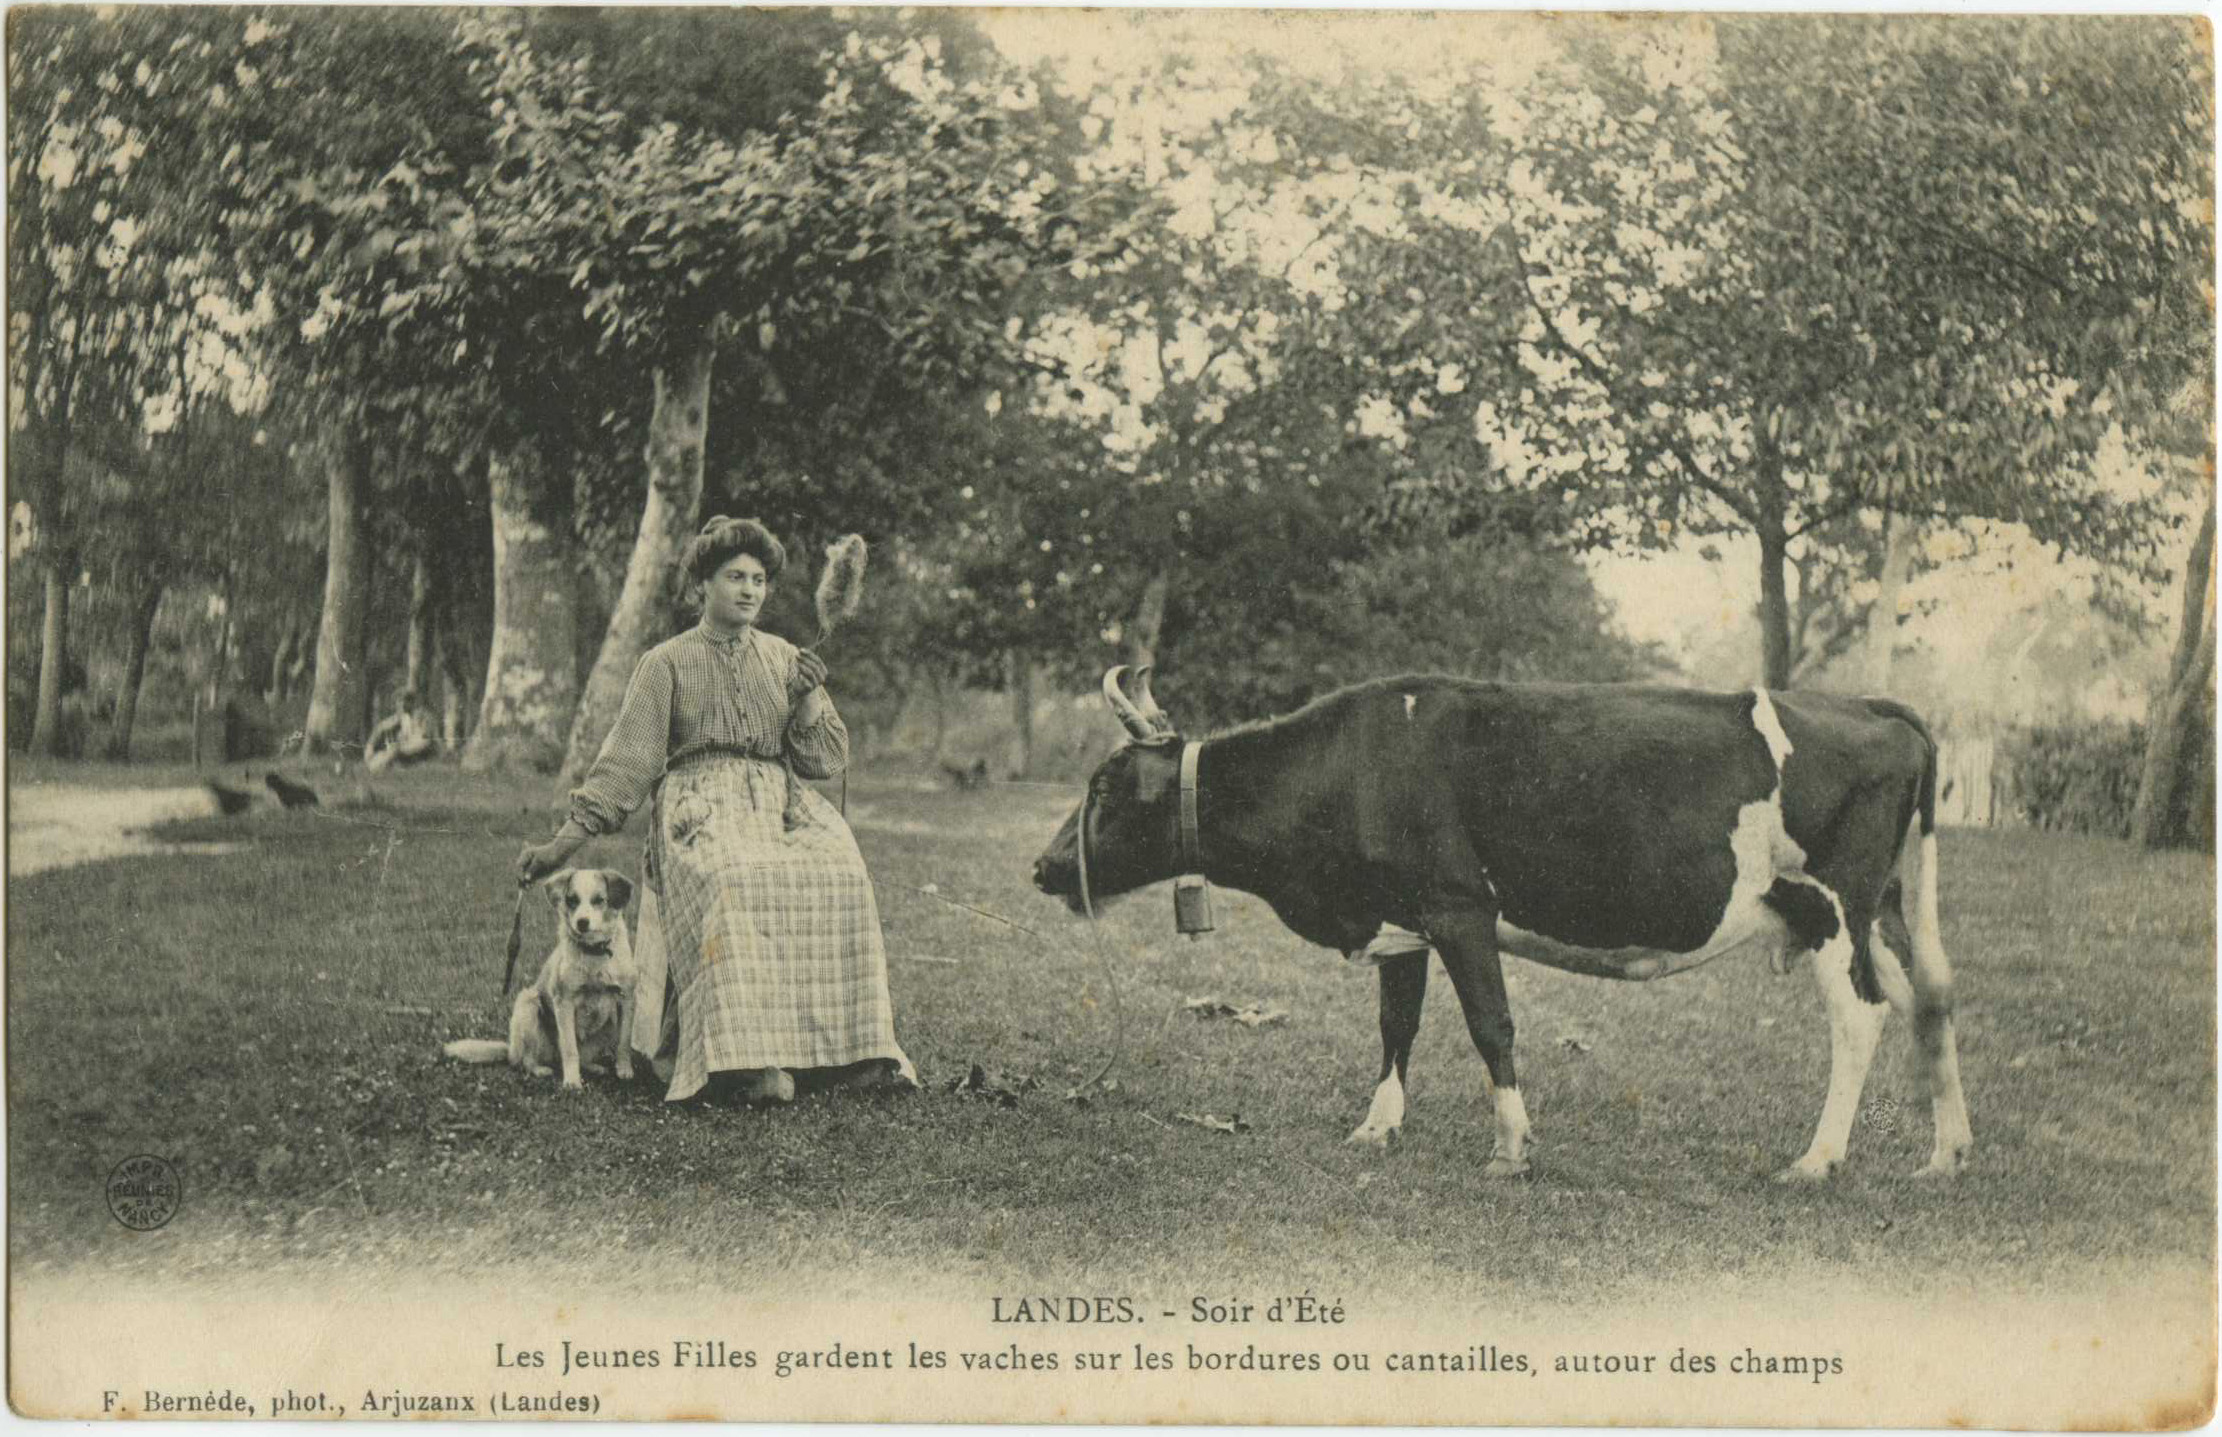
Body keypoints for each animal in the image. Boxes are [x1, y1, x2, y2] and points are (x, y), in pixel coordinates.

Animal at [439, 866, 635, 1092]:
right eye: (572, 900)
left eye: (599, 900)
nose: (582, 923)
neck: (594, 953)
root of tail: (510, 1049)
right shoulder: (564, 1001)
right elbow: (570, 1048)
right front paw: (572, 1081)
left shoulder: (626, 999)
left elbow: (624, 1042)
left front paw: (624, 1069)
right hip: (528, 1004)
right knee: (528, 1060)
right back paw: (540, 1069)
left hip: (608, 1024)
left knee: (582, 1056)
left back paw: (592, 1067)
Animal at [1031, 670, 1973, 1190]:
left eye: (1105, 789)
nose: (1043, 868)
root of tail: (1872, 706)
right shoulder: (1402, 918)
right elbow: (1397, 1024)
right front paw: (1378, 1126)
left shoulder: (1458, 907)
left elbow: (1492, 1023)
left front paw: (1513, 1145)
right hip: (1886, 907)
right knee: (1932, 1001)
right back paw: (1946, 1153)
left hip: (1834, 904)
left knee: (1862, 1017)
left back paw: (1818, 1159)